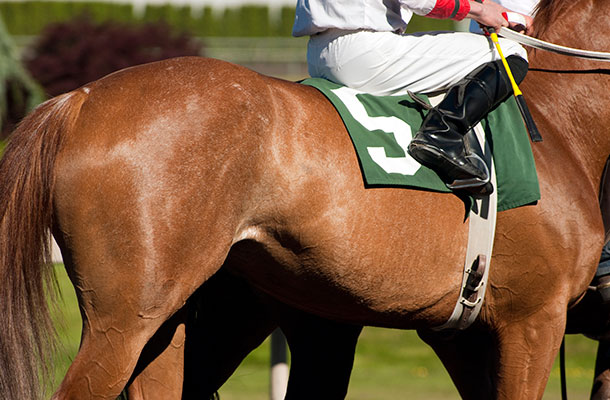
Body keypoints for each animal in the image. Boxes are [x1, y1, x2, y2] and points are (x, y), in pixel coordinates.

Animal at [1, 0, 608, 396]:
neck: (560, 122)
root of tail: (80, 98)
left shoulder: (464, 333)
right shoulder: (533, 320)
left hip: (170, 320)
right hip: (124, 319)